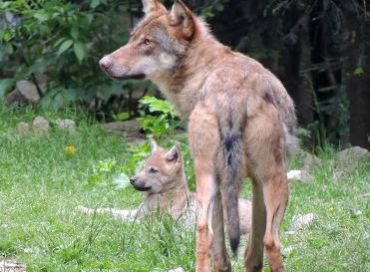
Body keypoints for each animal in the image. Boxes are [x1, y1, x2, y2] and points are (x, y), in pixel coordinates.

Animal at [98, 1, 298, 270]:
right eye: (133, 38)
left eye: (147, 42)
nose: (103, 62)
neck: (201, 70)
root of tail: (232, 95)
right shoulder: (253, 183)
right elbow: (244, 248)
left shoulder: (249, 183)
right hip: (264, 178)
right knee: (261, 240)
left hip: (228, 177)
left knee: (212, 231)